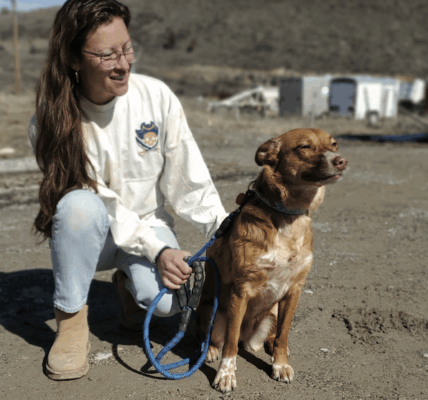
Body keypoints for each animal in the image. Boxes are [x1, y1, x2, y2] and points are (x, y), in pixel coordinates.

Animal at [197, 128, 347, 393]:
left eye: (334, 144)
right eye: (305, 147)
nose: (341, 161)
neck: (288, 216)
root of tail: (249, 337)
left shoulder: (295, 290)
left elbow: (283, 334)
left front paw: (280, 364)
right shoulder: (241, 290)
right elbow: (230, 343)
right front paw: (226, 374)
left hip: (273, 312)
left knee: (270, 335)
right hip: (209, 311)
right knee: (216, 337)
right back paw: (211, 351)